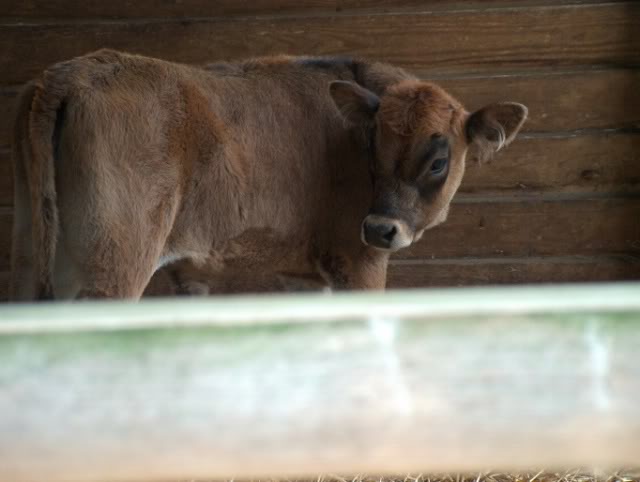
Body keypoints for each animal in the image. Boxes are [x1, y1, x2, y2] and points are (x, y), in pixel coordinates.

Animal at [10, 49, 528, 298]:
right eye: (373, 146)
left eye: (438, 160)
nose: (381, 229)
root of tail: (70, 73)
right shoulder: (357, 260)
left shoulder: (302, 274)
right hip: (113, 266)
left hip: (36, 256)